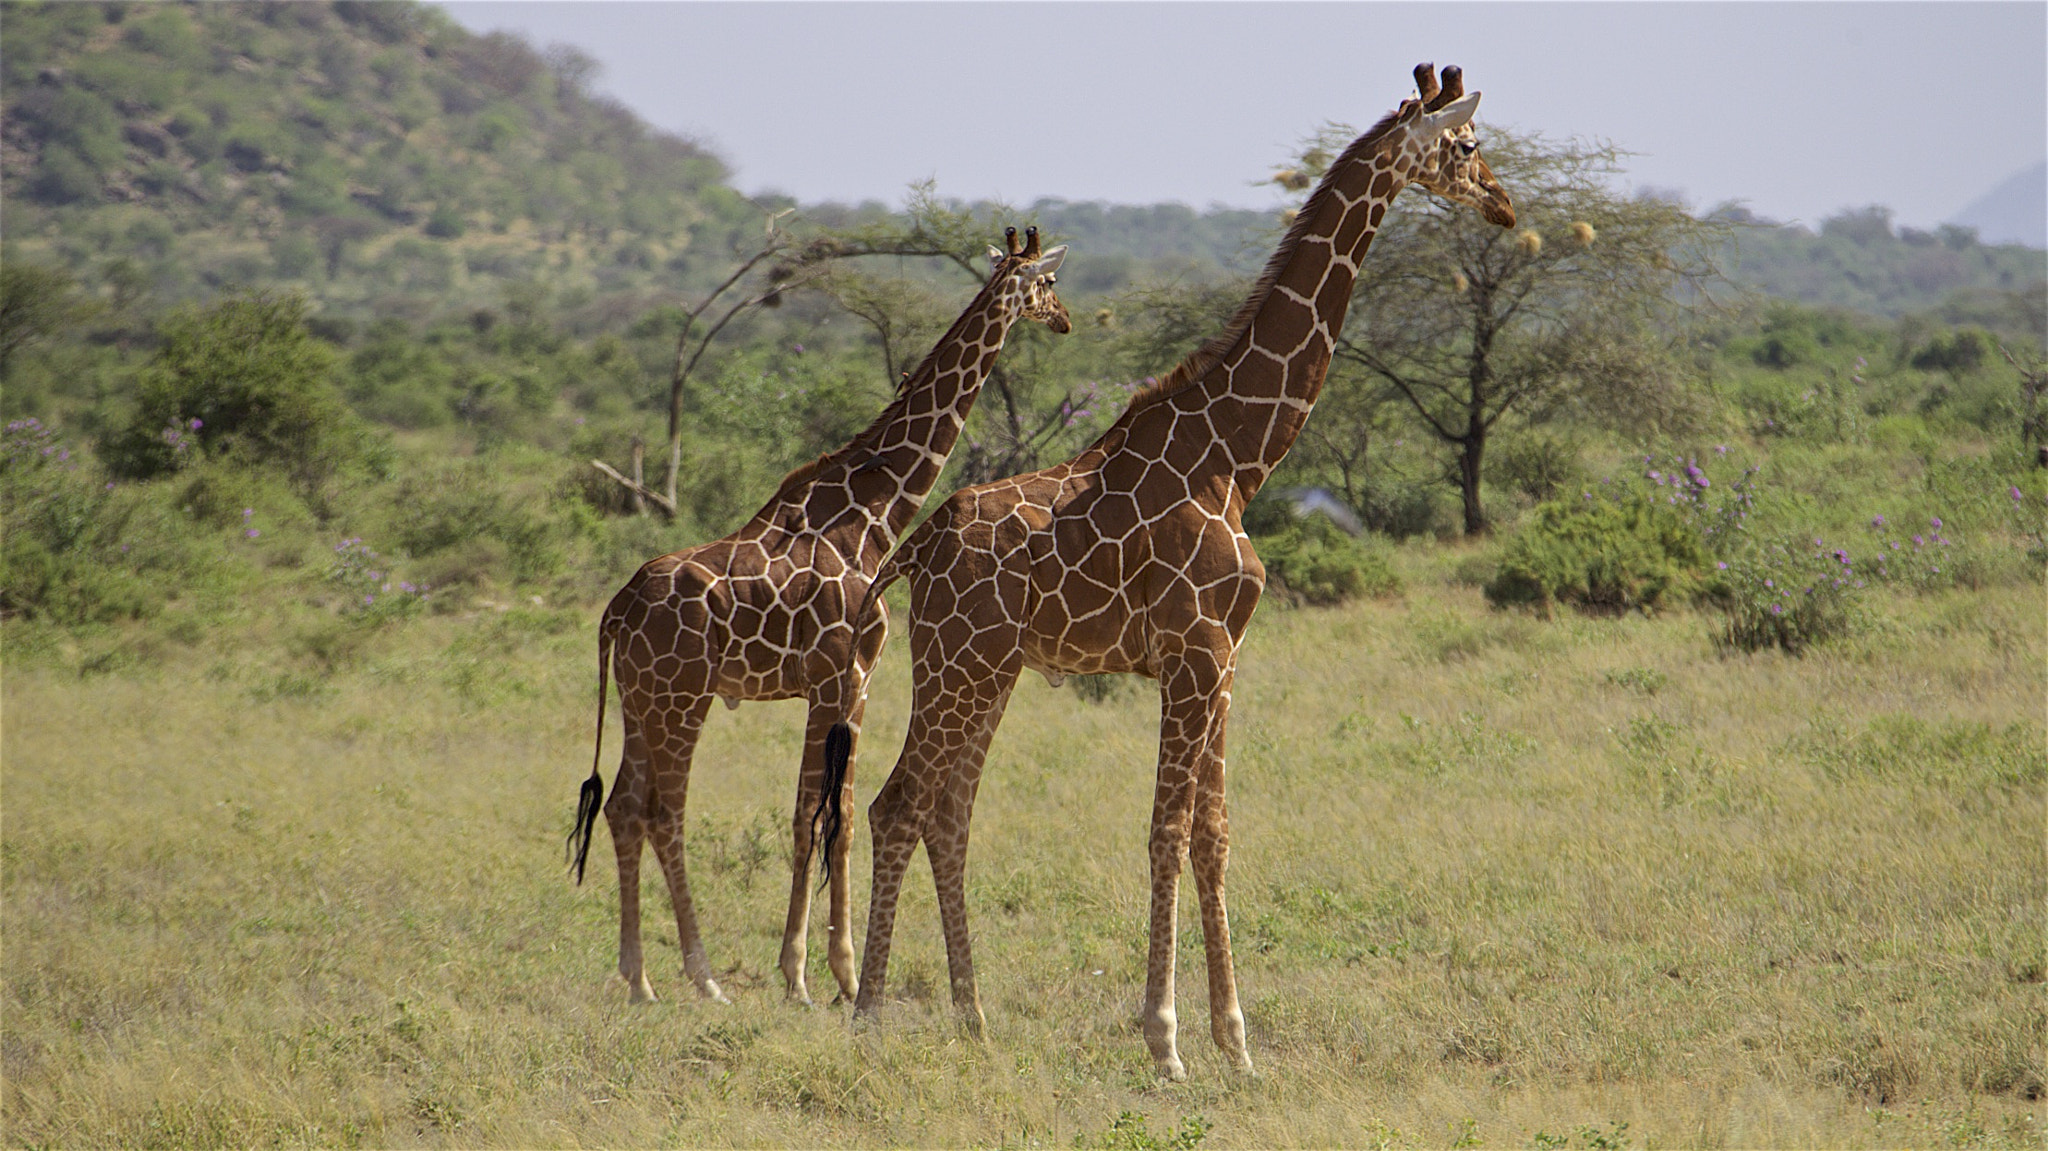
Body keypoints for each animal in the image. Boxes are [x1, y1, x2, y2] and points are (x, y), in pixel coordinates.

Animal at [568, 228, 1069, 1007]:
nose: (1066, 320)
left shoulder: (827, 685)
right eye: (1047, 283)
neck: (873, 514)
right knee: (661, 811)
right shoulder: (848, 677)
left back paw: (639, 977)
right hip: (682, 696)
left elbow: (811, 814)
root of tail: (616, 610)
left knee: (622, 804)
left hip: (638, 696)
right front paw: (828, 974)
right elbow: (834, 819)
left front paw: (803, 971)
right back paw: (702, 976)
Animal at [816, 65, 1514, 1078]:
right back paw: (869, 1015)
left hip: (989, 670)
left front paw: (1237, 1043)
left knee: (946, 810)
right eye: (1464, 146)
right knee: (897, 802)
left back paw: (972, 1014)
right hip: (957, 663)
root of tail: (919, 543)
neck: (1237, 454)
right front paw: (1167, 1039)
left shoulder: (1223, 658)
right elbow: (1166, 831)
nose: (1503, 204)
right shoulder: (1191, 653)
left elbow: (1213, 835)